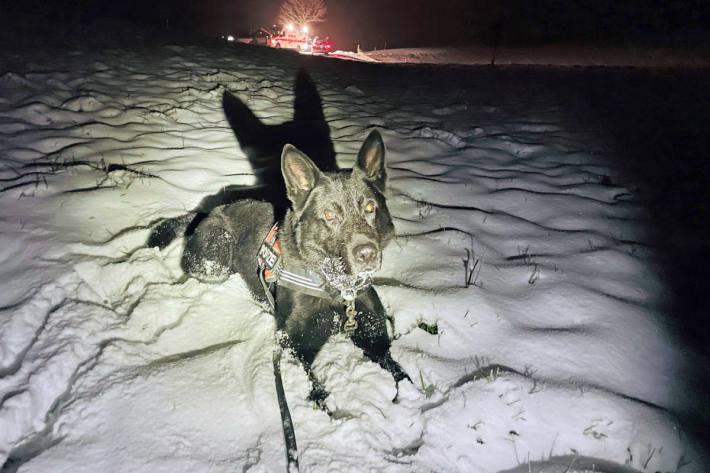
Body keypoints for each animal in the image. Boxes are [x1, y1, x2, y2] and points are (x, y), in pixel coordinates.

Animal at [147, 71, 408, 402]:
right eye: (329, 215)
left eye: (371, 207)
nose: (367, 255)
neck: (335, 289)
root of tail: (208, 209)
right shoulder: (292, 343)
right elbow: (313, 385)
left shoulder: (373, 335)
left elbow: (400, 373)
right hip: (217, 254)